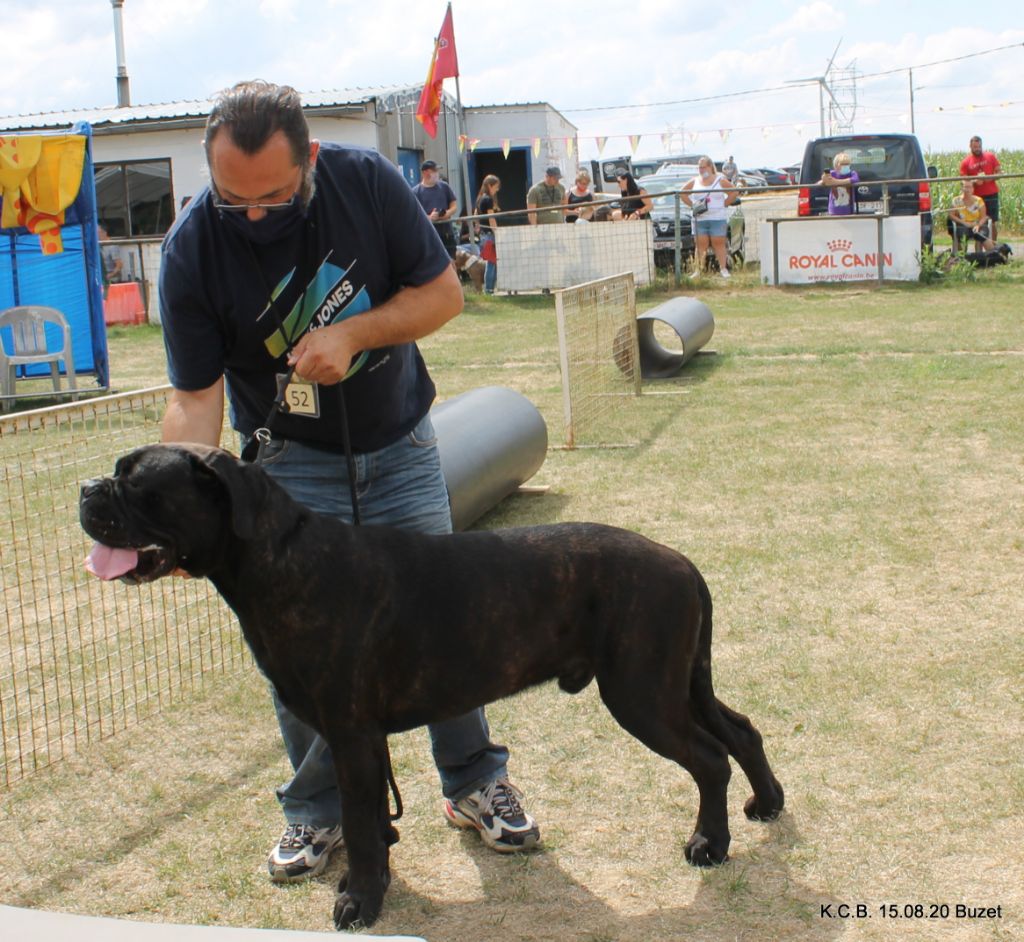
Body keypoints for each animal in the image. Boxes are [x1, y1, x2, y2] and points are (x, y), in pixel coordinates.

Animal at [81, 444, 782, 929]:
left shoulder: (350, 734)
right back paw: (767, 804)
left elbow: (360, 823)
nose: (86, 488)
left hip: (641, 694)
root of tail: (681, 563)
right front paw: (378, 872)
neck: (281, 560)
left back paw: (710, 843)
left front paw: (359, 902)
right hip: (675, 684)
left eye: (138, 484)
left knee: (709, 758)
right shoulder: (358, 740)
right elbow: (369, 817)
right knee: (741, 729)